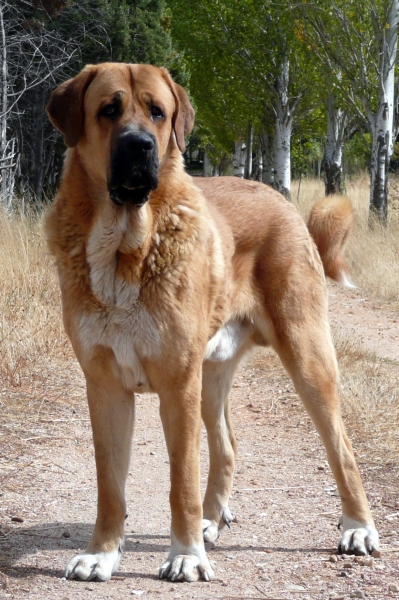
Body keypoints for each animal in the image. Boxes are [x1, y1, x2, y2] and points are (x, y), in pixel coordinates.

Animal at [45, 62, 380, 580]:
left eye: (157, 112)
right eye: (108, 110)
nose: (140, 145)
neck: (124, 246)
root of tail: (281, 199)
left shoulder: (177, 385)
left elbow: (181, 478)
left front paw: (184, 556)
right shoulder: (105, 387)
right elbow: (110, 486)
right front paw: (102, 554)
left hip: (306, 359)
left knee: (341, 448)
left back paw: (358, 528)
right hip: (211, 376)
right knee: (227, 447)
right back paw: (211, 520)